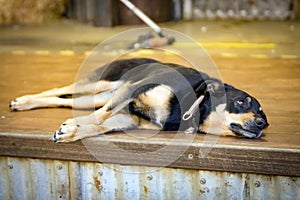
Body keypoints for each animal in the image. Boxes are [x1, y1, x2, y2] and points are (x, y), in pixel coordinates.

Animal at [9, 57, 268, 142]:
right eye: (242, 102)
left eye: (263, 114)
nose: (263, 125)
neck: (193, 102)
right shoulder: (133, 90)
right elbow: (101, 116)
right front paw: (73, 125)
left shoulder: (130, 120)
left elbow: (99, 126)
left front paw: (71, 131)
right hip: (104, 83)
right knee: (59, 89)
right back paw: (22, 100)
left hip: (98, 96)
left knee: (63, 100)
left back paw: (27, 104)